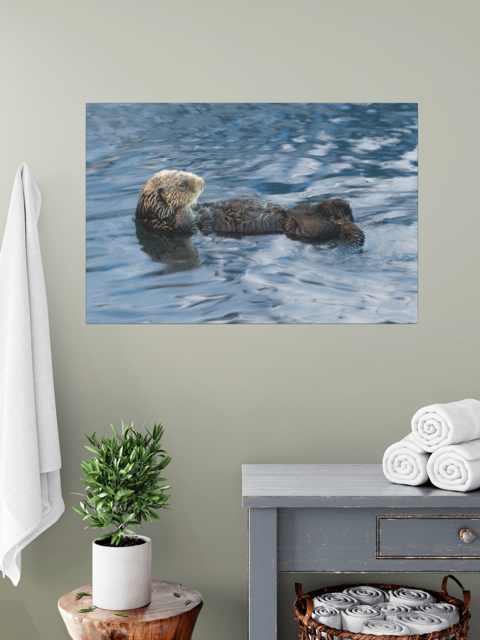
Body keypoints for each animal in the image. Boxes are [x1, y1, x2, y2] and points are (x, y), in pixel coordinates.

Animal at [134, 169, 365, 248]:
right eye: (182, 184)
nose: (202, 182)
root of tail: (340, 223)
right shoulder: (173, 228)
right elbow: (184, 223)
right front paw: (183, 208)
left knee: (337, 210)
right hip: (310, 228)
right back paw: (296, 211)